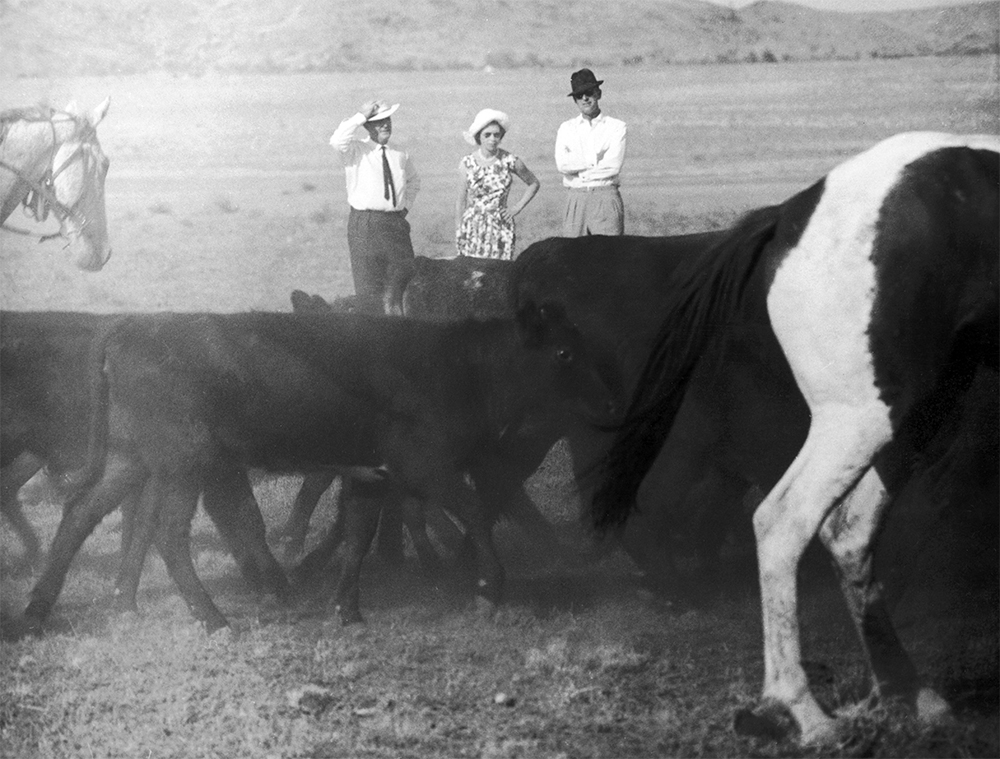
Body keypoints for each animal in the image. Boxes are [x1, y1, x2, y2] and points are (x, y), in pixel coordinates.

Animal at [23, 306, 612, 632]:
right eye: (564, 353)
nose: (608, 401)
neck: (458, 366)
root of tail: (130, 328)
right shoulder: (428, 467)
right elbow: (474, 512)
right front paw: (490, 588)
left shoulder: (371, 475)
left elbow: (357, 537)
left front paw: (346, 609)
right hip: (182, 464)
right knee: (168, 535)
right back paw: (213, 618)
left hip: (133, 458)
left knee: (80, 514)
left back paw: (38, 612)